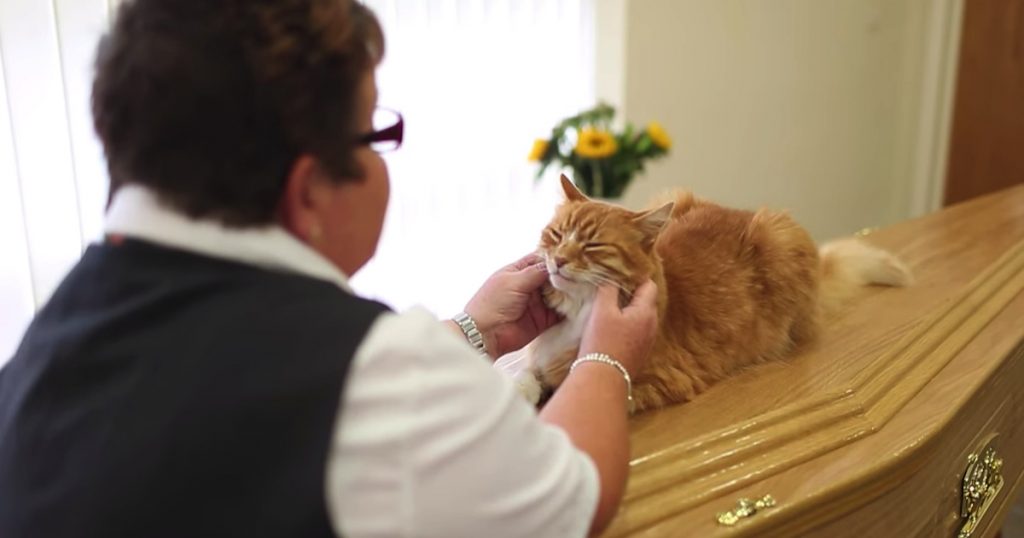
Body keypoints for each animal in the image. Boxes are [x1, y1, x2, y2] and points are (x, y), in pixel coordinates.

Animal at [512, 176, 913, 411]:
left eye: (592, 245)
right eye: (556, 235)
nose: (559, 260)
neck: (578, 311)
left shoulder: (648, 382)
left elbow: (565, 388)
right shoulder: (536, 356)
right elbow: (525, 373)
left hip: (781, 236)